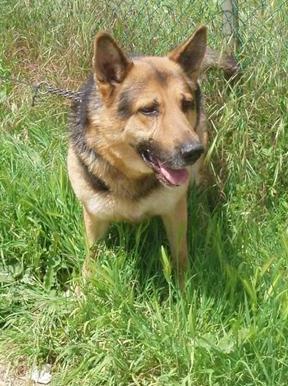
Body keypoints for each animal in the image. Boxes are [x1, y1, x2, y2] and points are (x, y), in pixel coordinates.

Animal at [67, 26, 238, 286]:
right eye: (149, 109)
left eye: (186, 104)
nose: (193, 151)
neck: (133, 178)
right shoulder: (94, 218)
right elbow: (91, 257)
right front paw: (83, 288)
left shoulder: (175, 212)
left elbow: (180, 256)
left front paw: (184, 289)